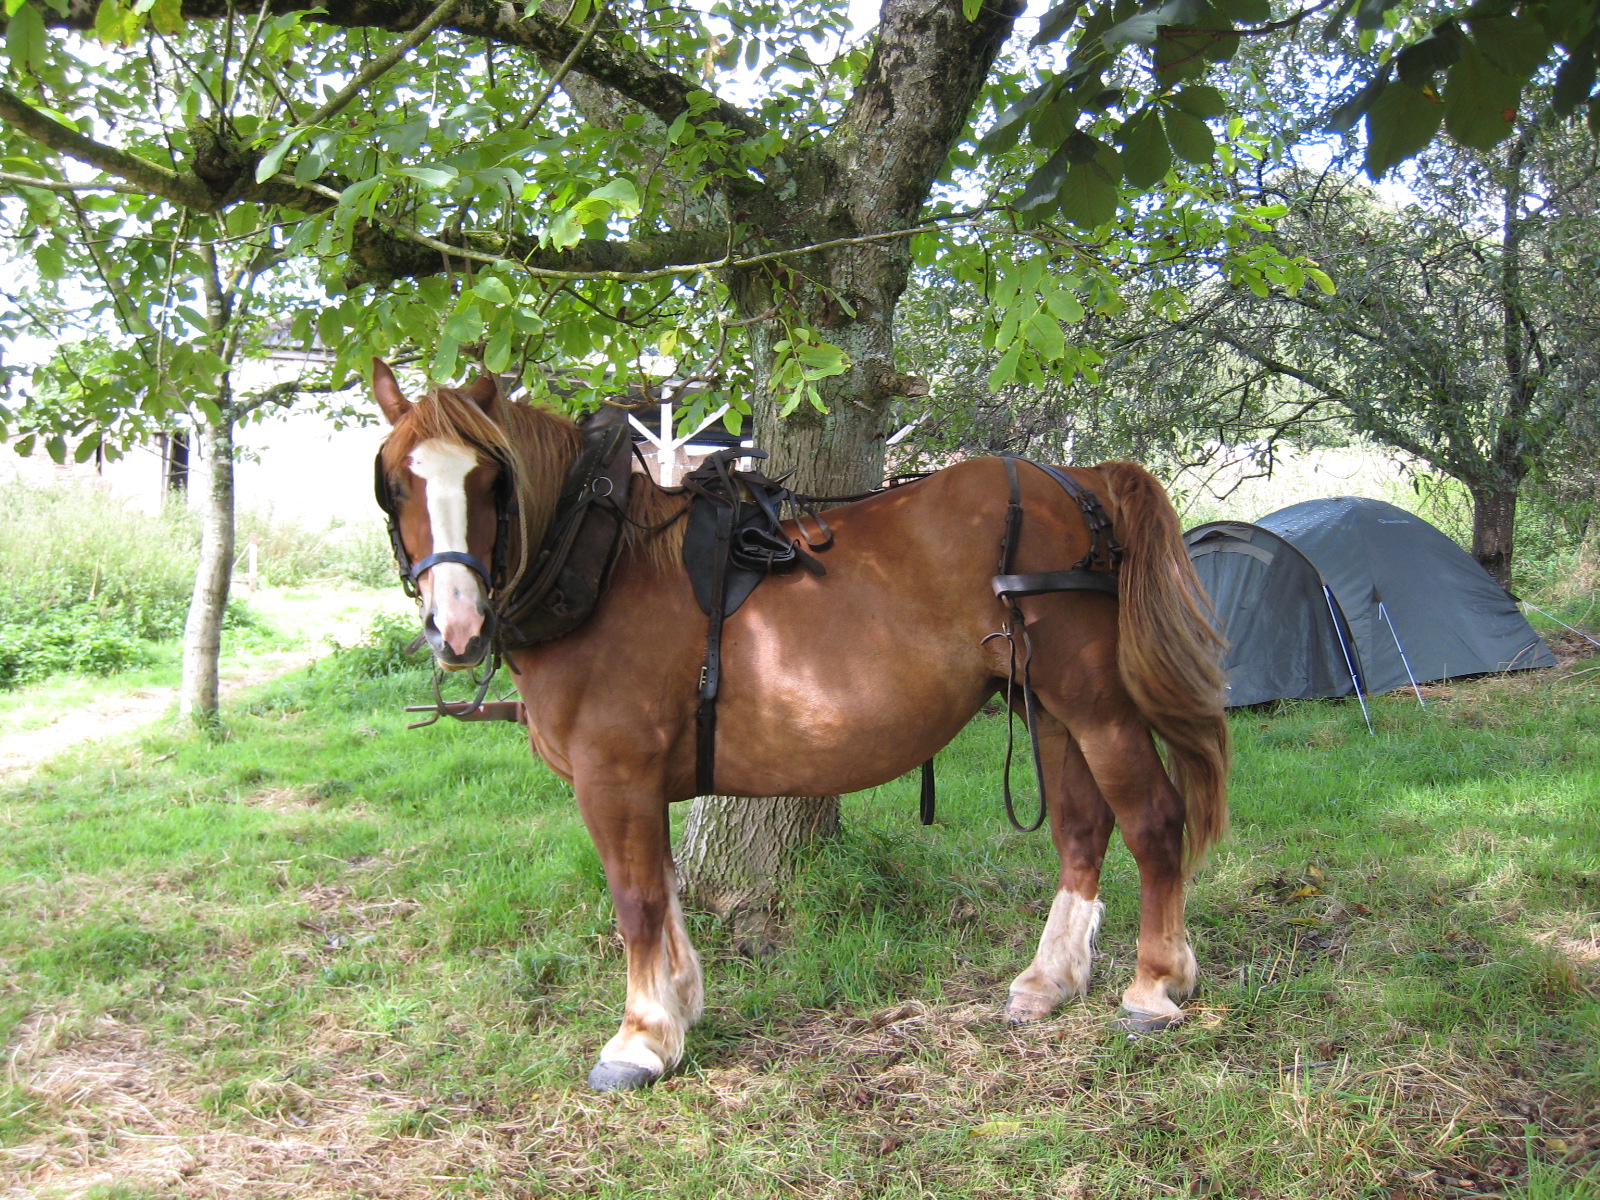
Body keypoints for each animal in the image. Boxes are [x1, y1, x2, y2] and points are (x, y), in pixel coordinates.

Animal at [368, 359, 1230, 1091]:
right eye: (397, 486)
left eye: (492, 480)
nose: (456, 627)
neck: (606, 564)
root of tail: (1080, 480)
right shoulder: (641, 784)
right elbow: (666, 894)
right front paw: (679, 1007)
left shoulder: (614, 775)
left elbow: (637, 900)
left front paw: (640, 1038)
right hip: (1044, 706)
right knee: (1082, 829)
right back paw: (1052, 980)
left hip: (1095, 705)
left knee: (1154, 821)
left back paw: (1155, 986)